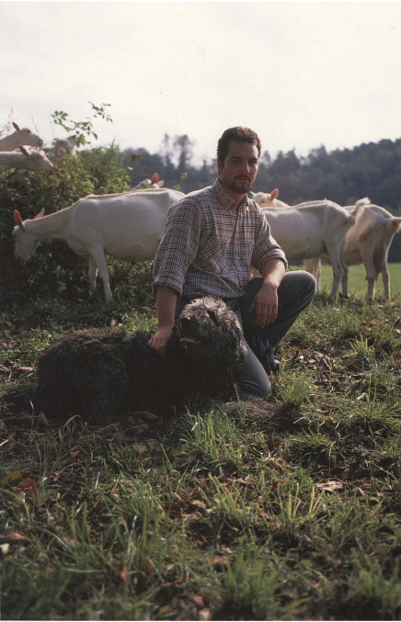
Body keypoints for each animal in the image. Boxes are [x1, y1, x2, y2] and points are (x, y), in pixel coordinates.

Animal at [4, 298, 245, 424]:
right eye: (191, 309)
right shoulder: (196, 401)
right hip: (110, 367)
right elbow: (235, 407)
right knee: (97, 415)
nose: (185, 321)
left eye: (211, 315)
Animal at [12, 188, 184, 302]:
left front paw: (109, 300)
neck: (67, 220)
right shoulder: (89, 248)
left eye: (16, 237)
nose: (17, 259)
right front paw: (91, 294)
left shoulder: (96, 245)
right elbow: (91, 273)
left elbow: (103, 274)